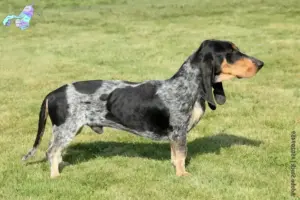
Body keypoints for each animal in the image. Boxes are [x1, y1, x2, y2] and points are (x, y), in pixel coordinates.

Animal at [22, 39, 264, 178]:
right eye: (231, 52)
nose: (261, 64)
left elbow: (175, 155)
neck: (188, 85)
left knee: (56, 151)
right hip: (66, 129)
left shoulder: (175, 135)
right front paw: (182, 175)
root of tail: (52, 93)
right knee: (51, 151)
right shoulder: (179, 131)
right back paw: (56, 176)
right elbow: (181, 155)